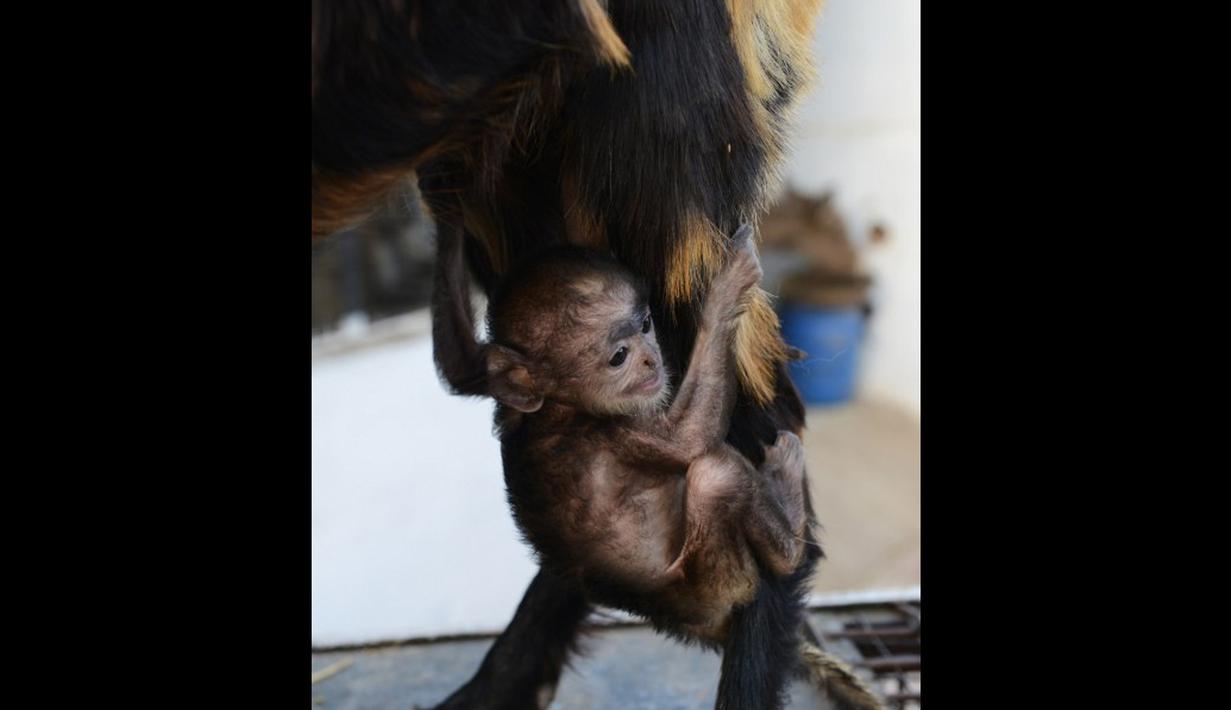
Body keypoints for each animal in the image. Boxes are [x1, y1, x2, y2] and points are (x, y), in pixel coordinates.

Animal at [433, 223, 807, 634]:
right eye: (619, 357)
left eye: (645, 326)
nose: (650, 359)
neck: (558, 406)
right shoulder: (606, 435)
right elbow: (688, 438)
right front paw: (729, 284)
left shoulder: (504, 390)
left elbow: (461, 365)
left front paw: (447, 230)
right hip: (726, 582)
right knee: (716, 474)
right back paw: (790, 538)